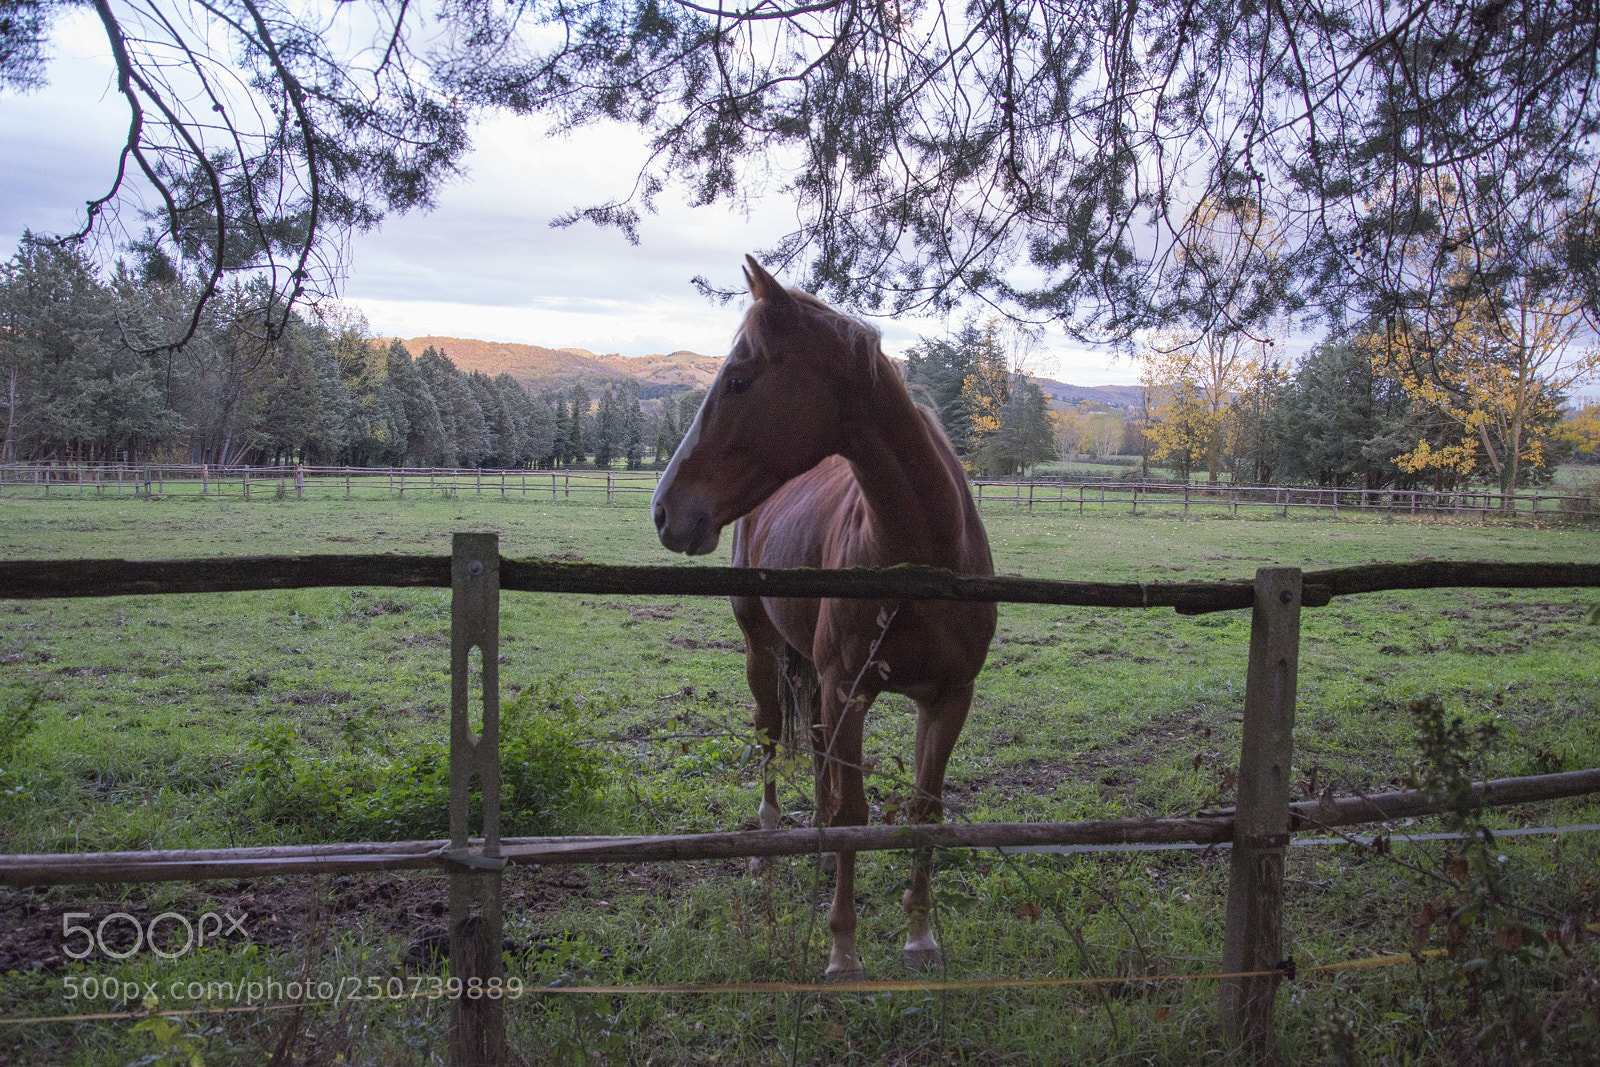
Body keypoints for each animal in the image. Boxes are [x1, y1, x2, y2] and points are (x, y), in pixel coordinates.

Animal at [652, 256, 997, 979]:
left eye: (739, 379)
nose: (665, 510)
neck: (920, 557)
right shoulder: (850, 690)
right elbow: (854, 809)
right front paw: (843, 946)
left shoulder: (949, 697)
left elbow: (924, 807)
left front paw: (920, 935)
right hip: (764, 654)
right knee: (771, 739)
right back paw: (768, 844)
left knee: (812, 752)